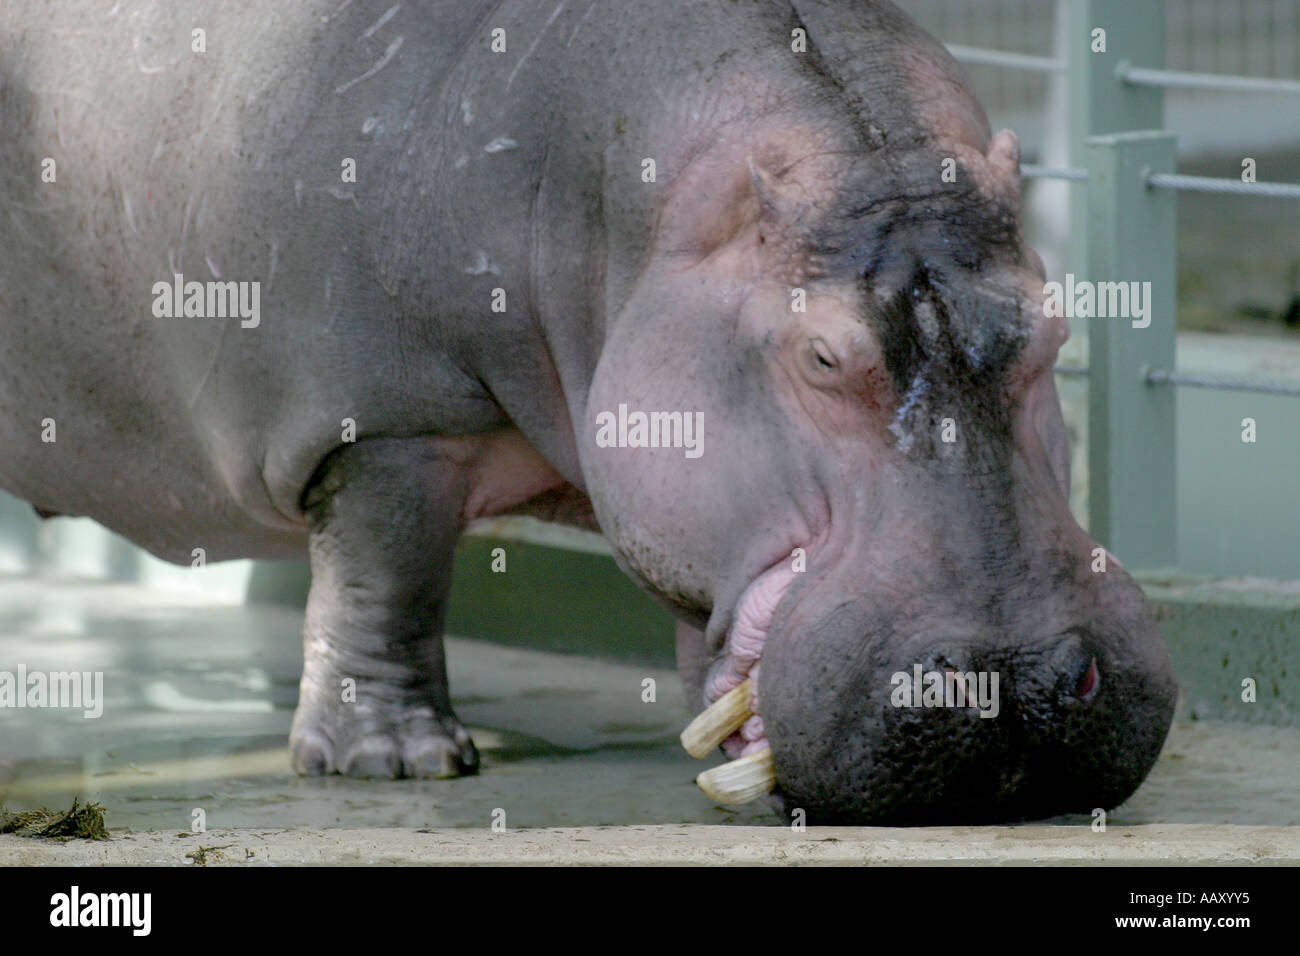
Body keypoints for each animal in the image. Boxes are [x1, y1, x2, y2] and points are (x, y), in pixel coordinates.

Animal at [0, 0, 1176, 824]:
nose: (1015, 686)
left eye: (1055, 329)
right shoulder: (388, 410)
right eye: (821, 354)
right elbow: (388, 577)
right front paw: (397, 763)